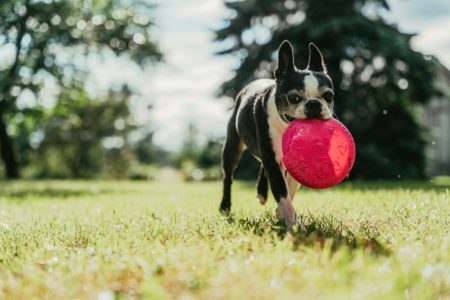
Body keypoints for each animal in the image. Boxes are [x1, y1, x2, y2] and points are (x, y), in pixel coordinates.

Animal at [218, 40, 334, 232]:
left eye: (329, 95)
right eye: (294, 97)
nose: (314, 104)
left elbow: (291, 184)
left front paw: (281, 213)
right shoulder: (272, 160)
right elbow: (282, 192)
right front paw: (294, 225)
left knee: (262, 166)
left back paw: (261, 193)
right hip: (232, 148)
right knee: (228, 176)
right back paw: (225, 207)